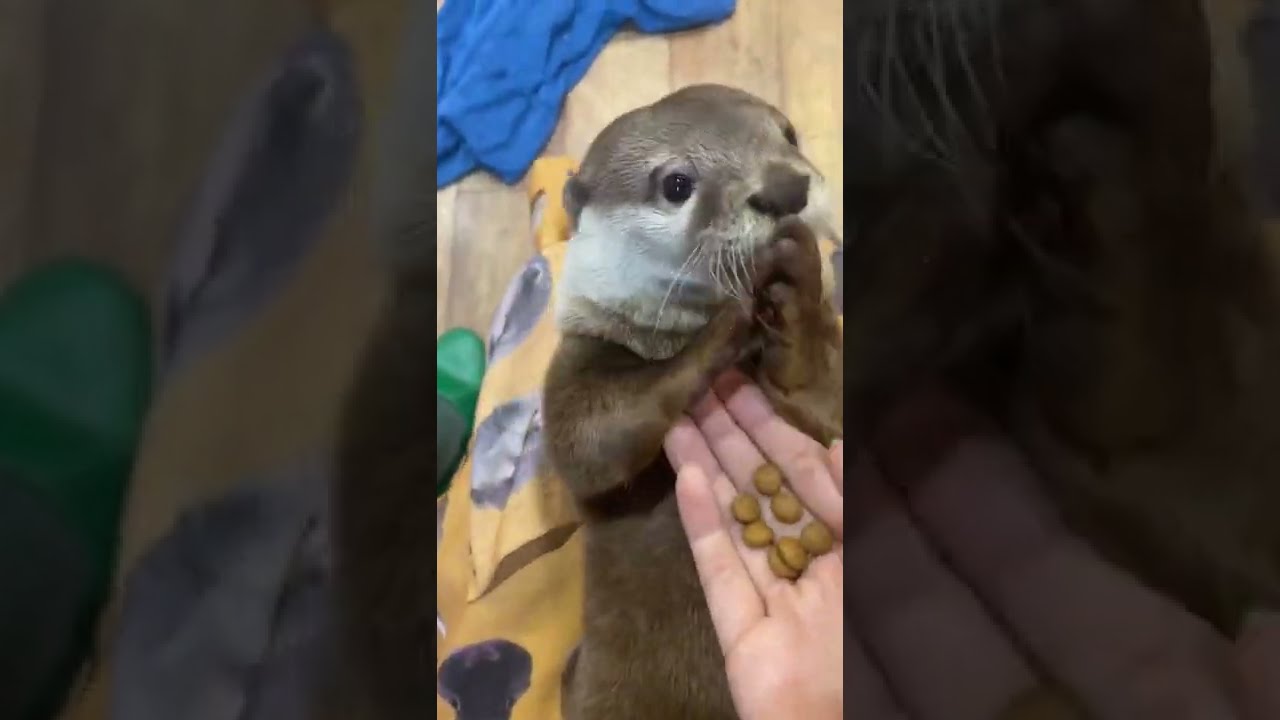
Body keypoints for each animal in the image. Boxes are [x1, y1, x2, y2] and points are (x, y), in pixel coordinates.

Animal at [541, 85, 844, 719]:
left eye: (789, 133)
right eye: (676, 184)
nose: (787, 190)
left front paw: (794, 288)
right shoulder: (576, 369)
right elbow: (585, 442)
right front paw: (726, 326)